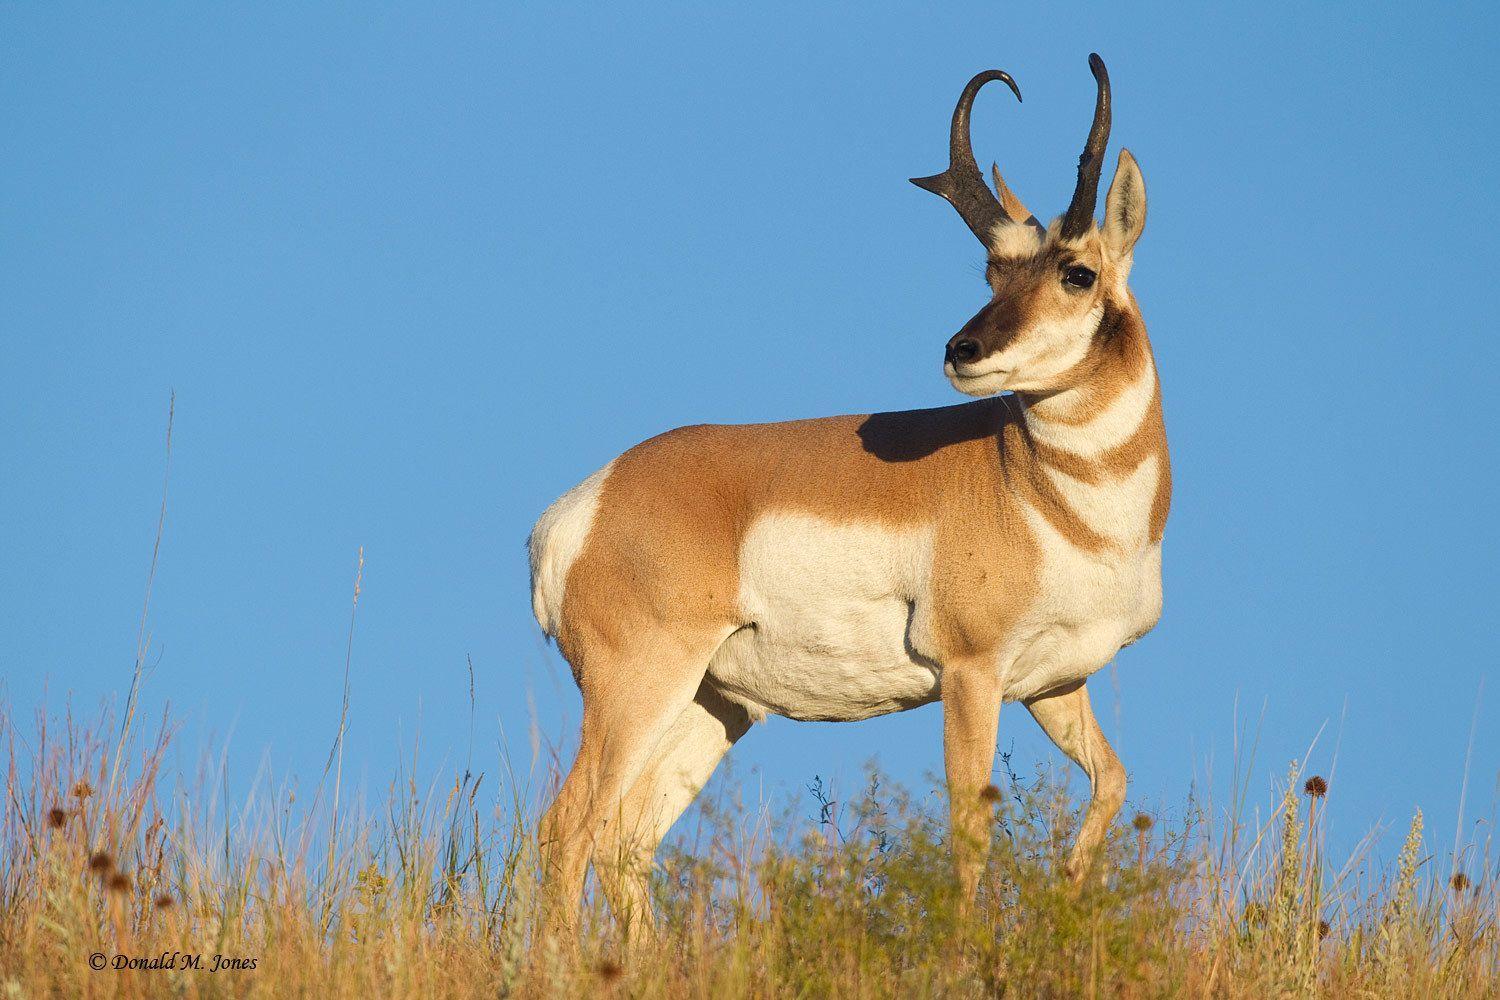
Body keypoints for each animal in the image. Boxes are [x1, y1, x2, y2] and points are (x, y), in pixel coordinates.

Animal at [529, 53, 1167, 934]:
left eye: (1078, 273)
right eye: (994, 272)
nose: (963, 349)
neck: (1049, 493)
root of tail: (585, 506)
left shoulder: (1054, 683)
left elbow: (1114, 781)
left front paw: (1068, 900)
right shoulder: (971, 673)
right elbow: (969, 832)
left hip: (711, 706)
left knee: (624, 838)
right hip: (638, 688)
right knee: (566, 831)